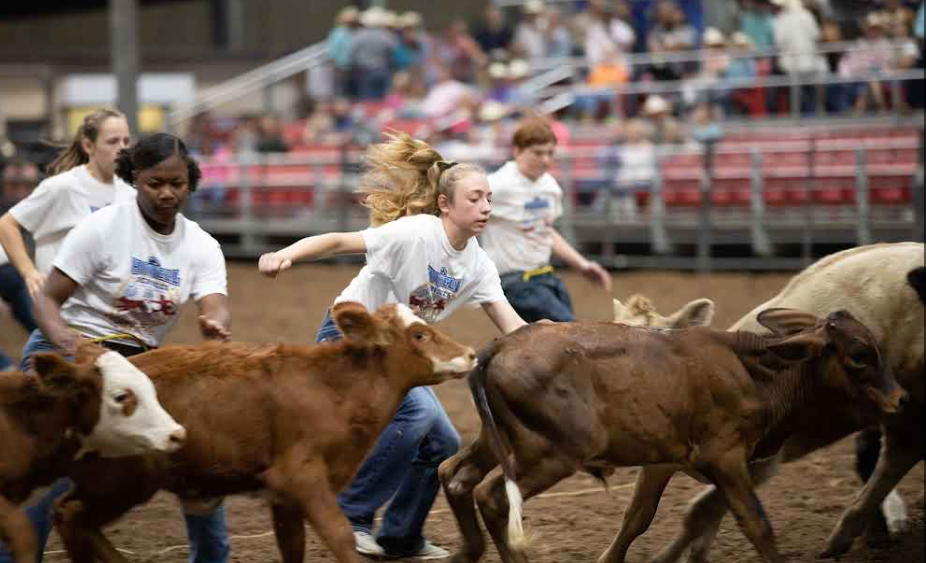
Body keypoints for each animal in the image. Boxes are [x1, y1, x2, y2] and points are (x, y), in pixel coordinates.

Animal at [53, 304, 474, 563]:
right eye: (419, 335)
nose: (470, 353)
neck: (332, 389)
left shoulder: (283, 498)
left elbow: (293, 546)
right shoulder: (301, 477)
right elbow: (339, 534)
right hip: (122, 480)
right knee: (70, 515)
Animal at [440, 308, 908, 563]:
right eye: (860, 355)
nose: (901, 399)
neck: (757, 374)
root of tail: (499, 347)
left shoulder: (661, 461)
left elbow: (637, 519)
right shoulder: (726, 458)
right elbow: (756, 523)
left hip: (496, 441)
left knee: (454, 474)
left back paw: (469, 549)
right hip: (551, 454)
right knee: (493, 497)